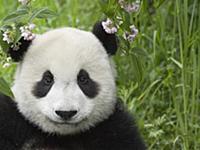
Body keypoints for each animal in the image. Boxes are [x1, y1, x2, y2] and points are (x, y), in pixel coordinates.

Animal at [0, 21, 145, 150]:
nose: (66, 113)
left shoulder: (114, 128)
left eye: (83, 79)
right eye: (47, 80)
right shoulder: (12, 121)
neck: (61, 136)